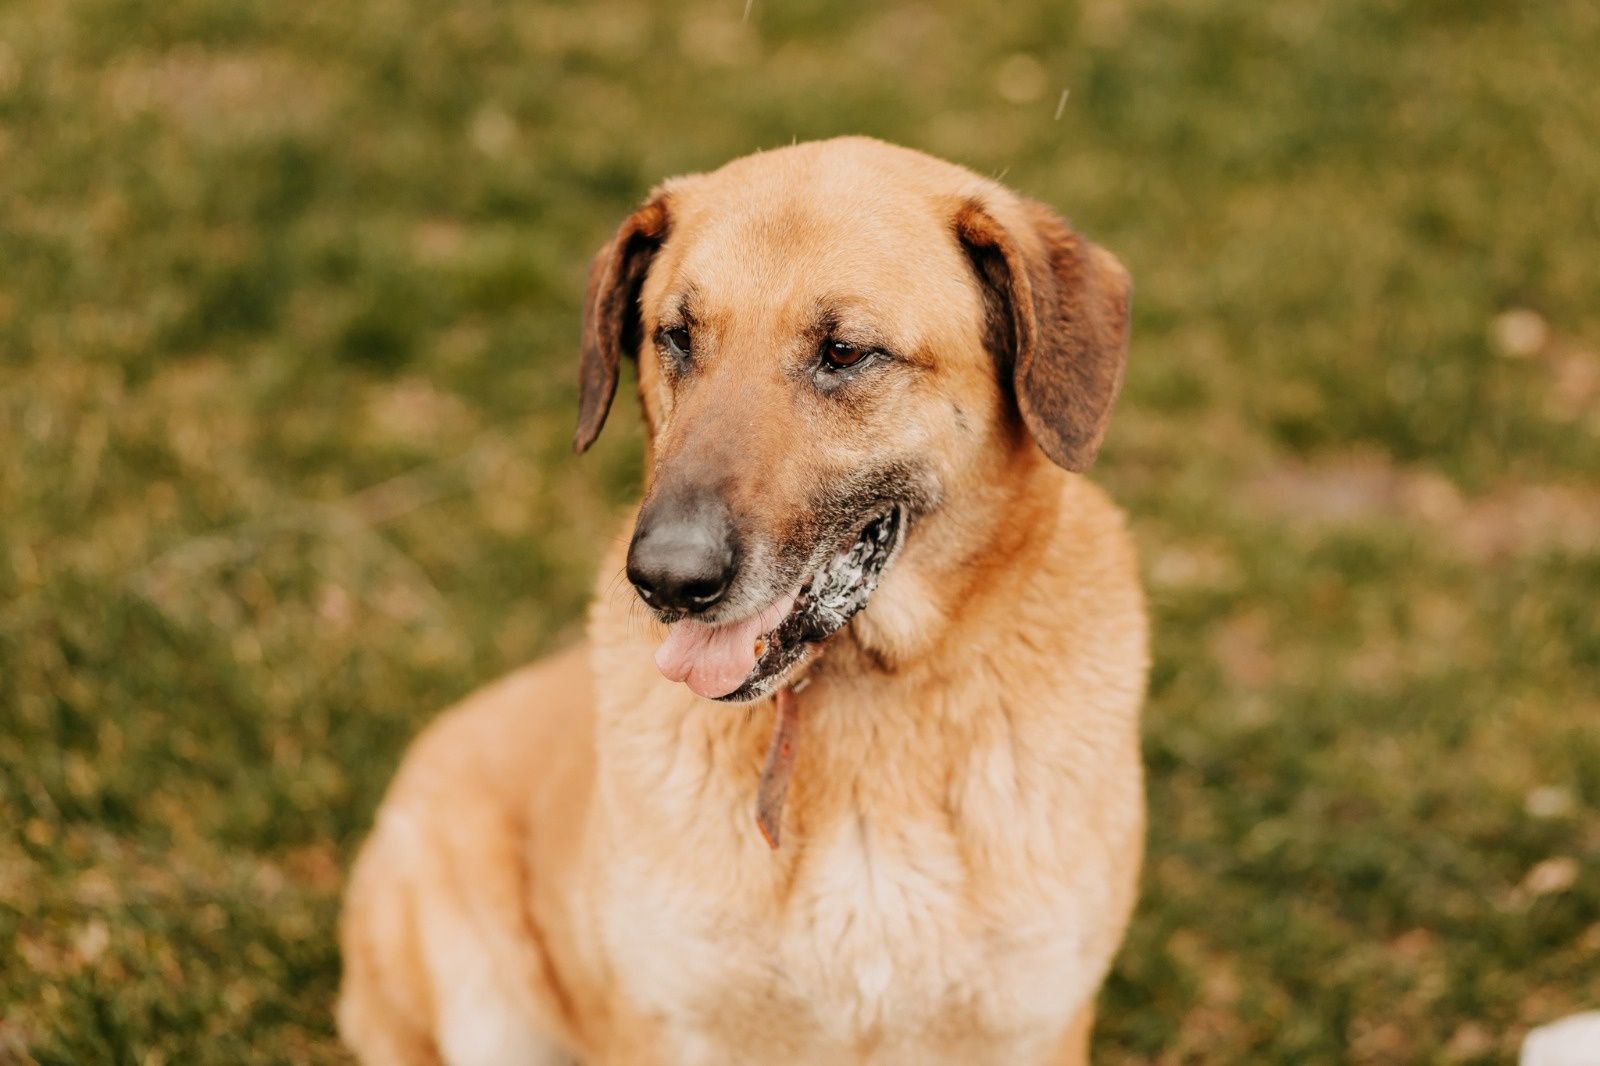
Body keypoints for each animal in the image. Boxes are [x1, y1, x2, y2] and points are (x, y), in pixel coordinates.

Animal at [337, 135, 1145, 1062]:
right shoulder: (667, 1025)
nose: (666, 580)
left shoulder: (1029, 1027)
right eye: (676, 337)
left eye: (845, 352)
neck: (867, 712)